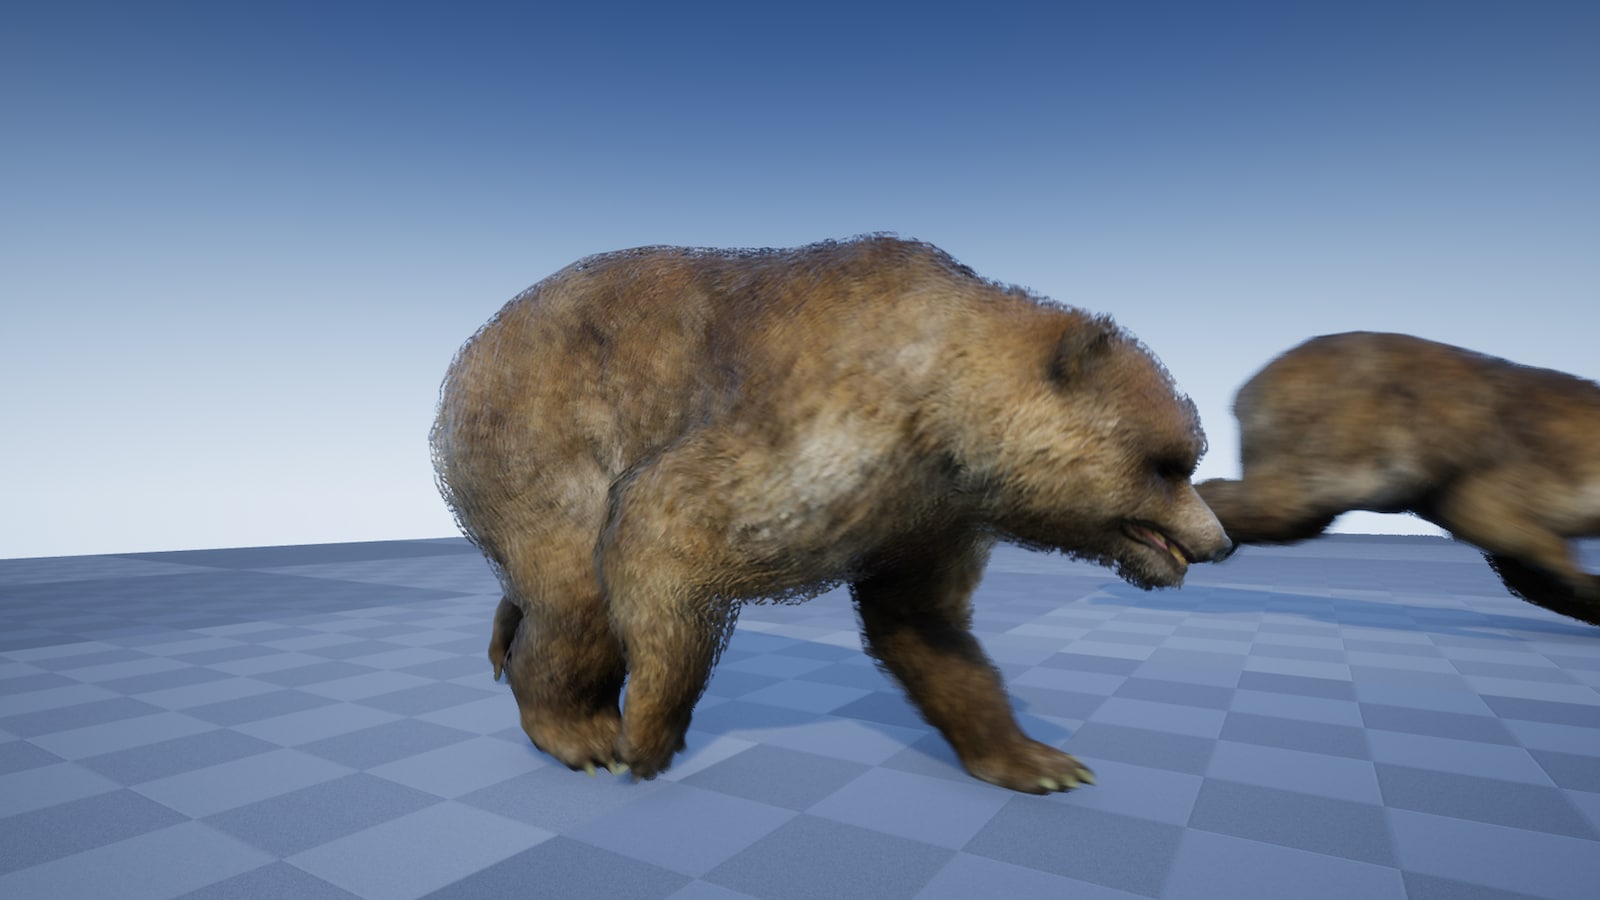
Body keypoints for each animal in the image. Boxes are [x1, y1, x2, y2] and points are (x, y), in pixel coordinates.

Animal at [430, 235, 1233, 794]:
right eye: (1168, 464)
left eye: (1187, 455)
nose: (1218, 541)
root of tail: (475, 344)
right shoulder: (829, 432)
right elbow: (666, 523)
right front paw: (648, 737)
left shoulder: (928, 519)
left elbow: (925, 626)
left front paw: (1039, 760)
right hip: (540, 433)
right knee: (575, 589)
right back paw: (581, 734)